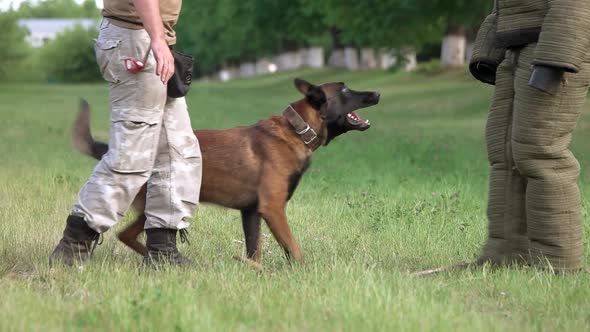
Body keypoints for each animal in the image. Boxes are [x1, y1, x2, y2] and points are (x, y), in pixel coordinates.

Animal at [74, 78, 382, 268]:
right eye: (344, 91)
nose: (377, 93)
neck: (297, 130)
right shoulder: (273, 209)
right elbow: (293, 248)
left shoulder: (252, 212)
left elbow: (255, 249)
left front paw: (253, 270)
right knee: (128, 234)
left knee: (128, 235)